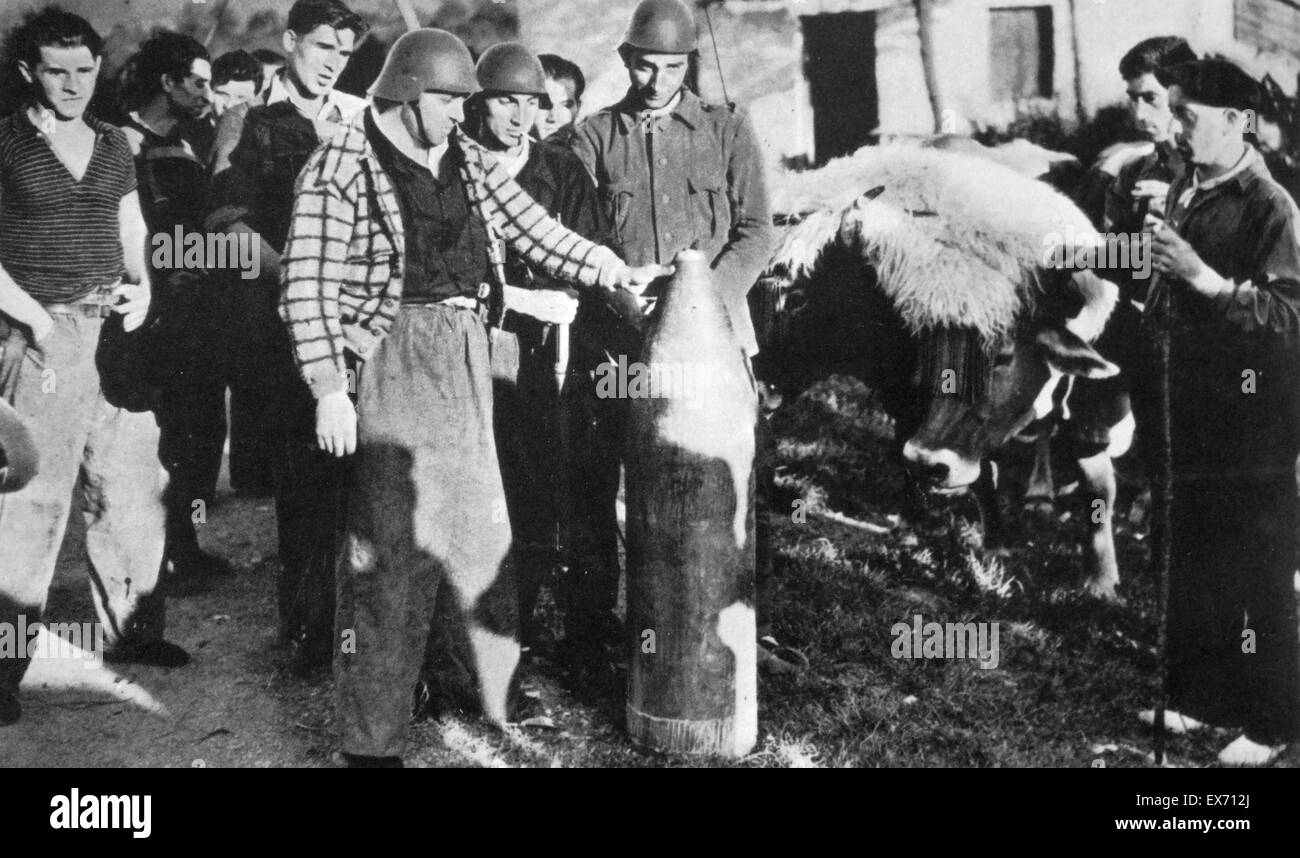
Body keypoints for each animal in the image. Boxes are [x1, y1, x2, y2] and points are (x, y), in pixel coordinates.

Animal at [754, 142, 1128, 595]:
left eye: (797, 299)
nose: (755, 383)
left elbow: (1098, 483)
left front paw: (1100, 580)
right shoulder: (906, 398)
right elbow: (955, 463)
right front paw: (949, 531)